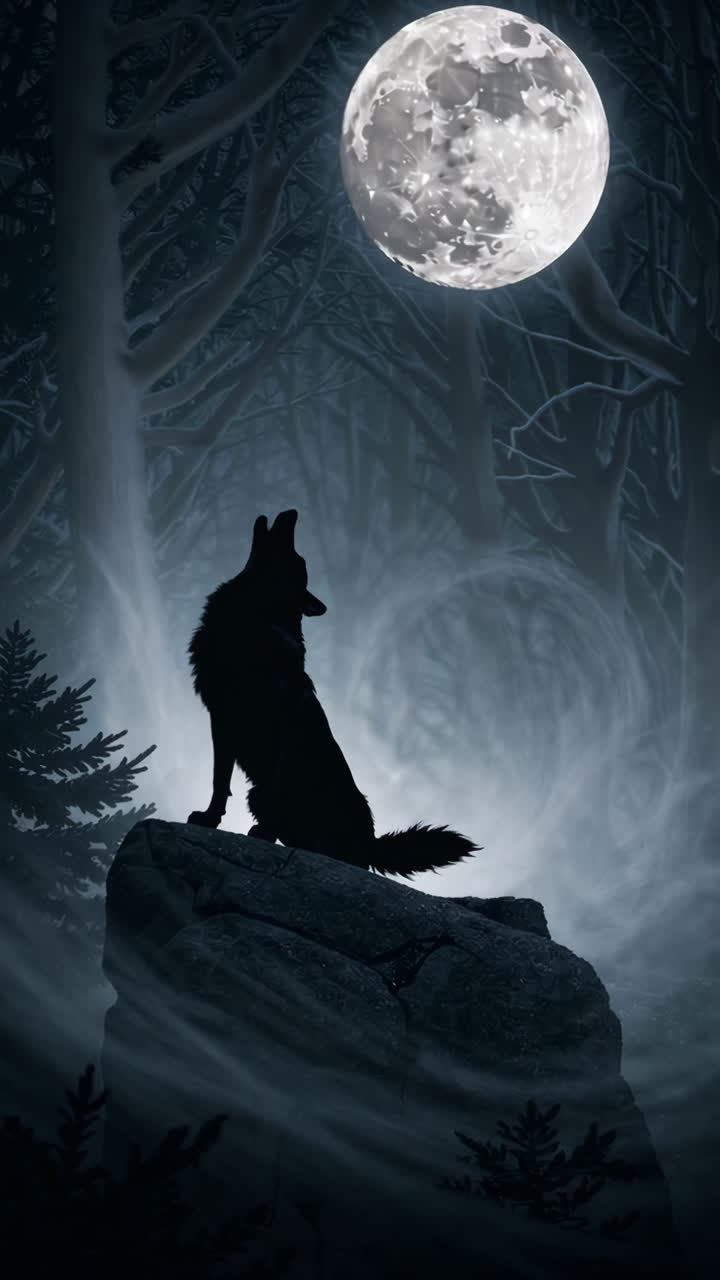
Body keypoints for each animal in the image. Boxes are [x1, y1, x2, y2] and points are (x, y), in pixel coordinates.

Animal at [187, 509, 478, 877]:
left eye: (298, 558)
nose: (292, 512)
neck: (256, 614)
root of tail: (371, 843)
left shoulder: (281, 724)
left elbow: (268, 786)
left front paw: (260, 834)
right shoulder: (221, 719)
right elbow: (219, 782)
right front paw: (209, 819)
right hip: (260, 794)